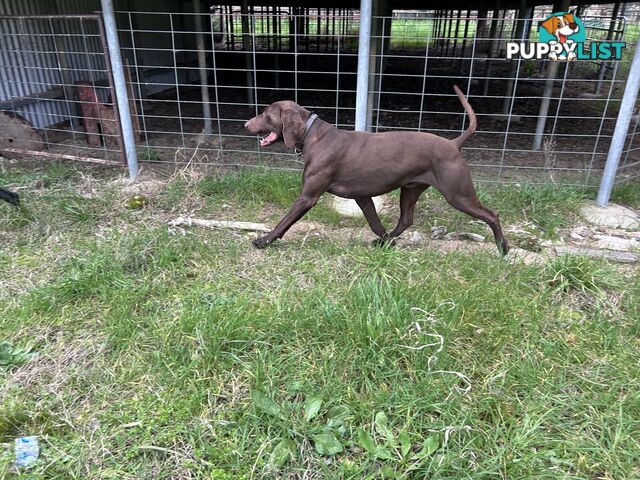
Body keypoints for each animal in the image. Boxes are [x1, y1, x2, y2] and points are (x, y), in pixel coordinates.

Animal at [245, 86, 510, 253]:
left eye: (266, 114)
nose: (246, 124)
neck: (313, 135)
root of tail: (454, 144)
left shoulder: (307, 197)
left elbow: (284, 222)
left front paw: (263, 240)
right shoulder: (361, 196)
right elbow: (374, 222)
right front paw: (385, 241)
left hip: (458, 195)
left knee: (492, 215)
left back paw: (503, 248)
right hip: (411, 190)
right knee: (406, 220)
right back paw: (388, 241)